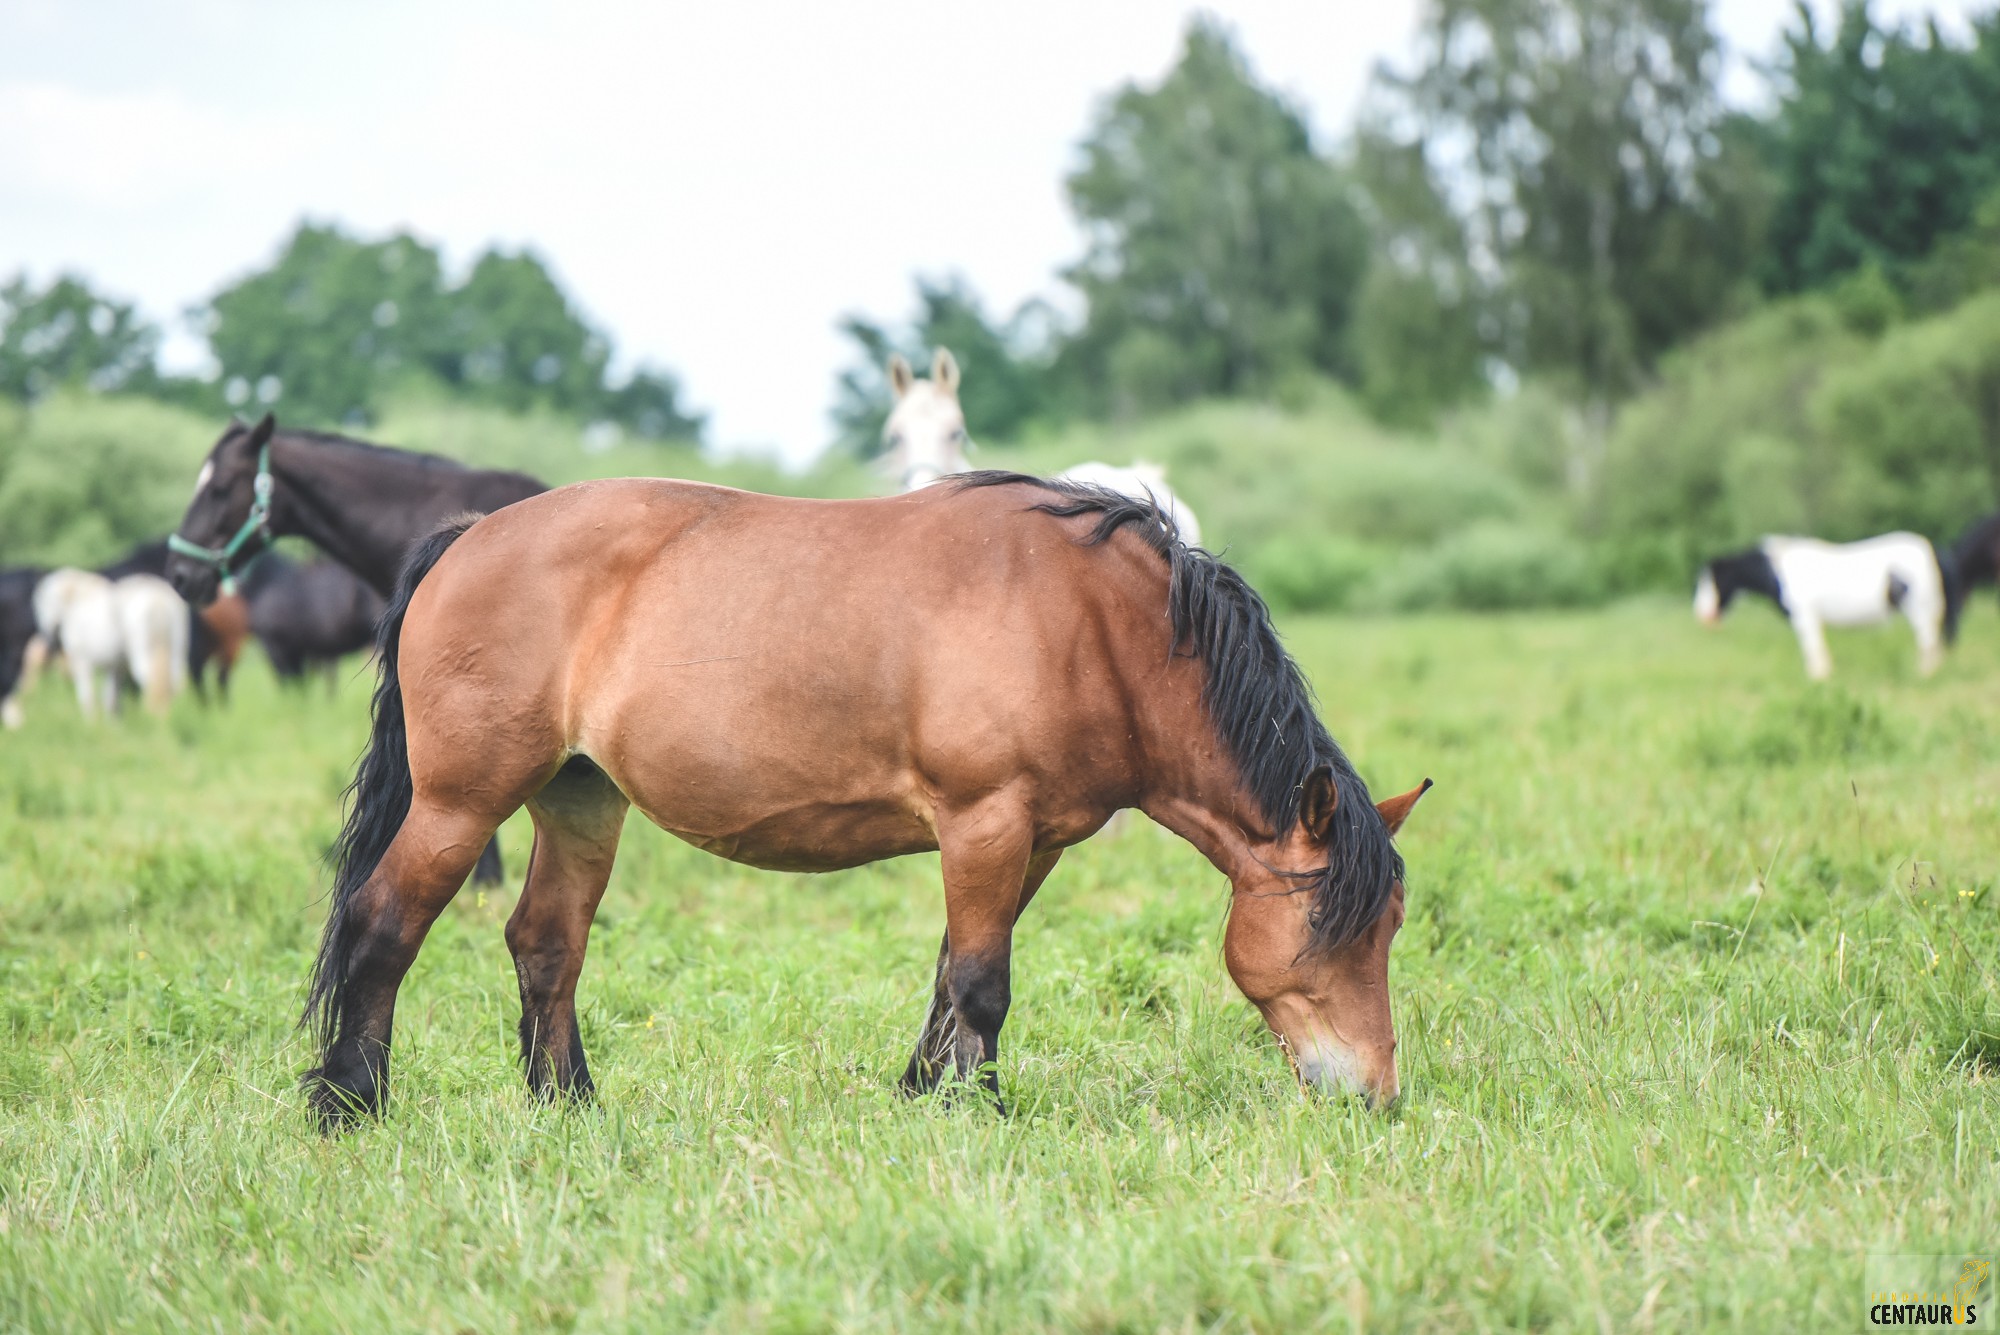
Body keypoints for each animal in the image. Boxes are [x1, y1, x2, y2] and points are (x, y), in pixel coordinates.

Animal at [31, 567, 188, 715]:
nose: (50, 643)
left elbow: (88, 697)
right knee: (173, 684)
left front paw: (92, 722)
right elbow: (111, 700)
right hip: (175, 651)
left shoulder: (82, 661)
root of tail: (158, 600)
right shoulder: (114, 666)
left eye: (40, 607)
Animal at [296, 469, 1432, 1127]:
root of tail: (470, 535)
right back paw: (351, 1104)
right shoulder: (984, 820)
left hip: (580, 804)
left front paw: (925, 1093)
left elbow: (951, 976)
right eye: (1335, 930)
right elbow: (982, 983)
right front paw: (977, 1115)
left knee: (546, 944)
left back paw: (567, 1107)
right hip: (459, 802)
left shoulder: (1034, 841)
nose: (1372, 1096)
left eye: (1388, 927)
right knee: (383, 924)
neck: (1087, 622)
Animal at [1696, 531, 1944, 679]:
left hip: (1918, 609)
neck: (1778, 572)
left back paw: (1924, 675)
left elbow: (1814, 652)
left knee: (1928, 642)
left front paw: (1819, 679)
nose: (1702, 616)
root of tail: (1927, 549)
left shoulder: (1805, 617)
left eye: (1711, 581)